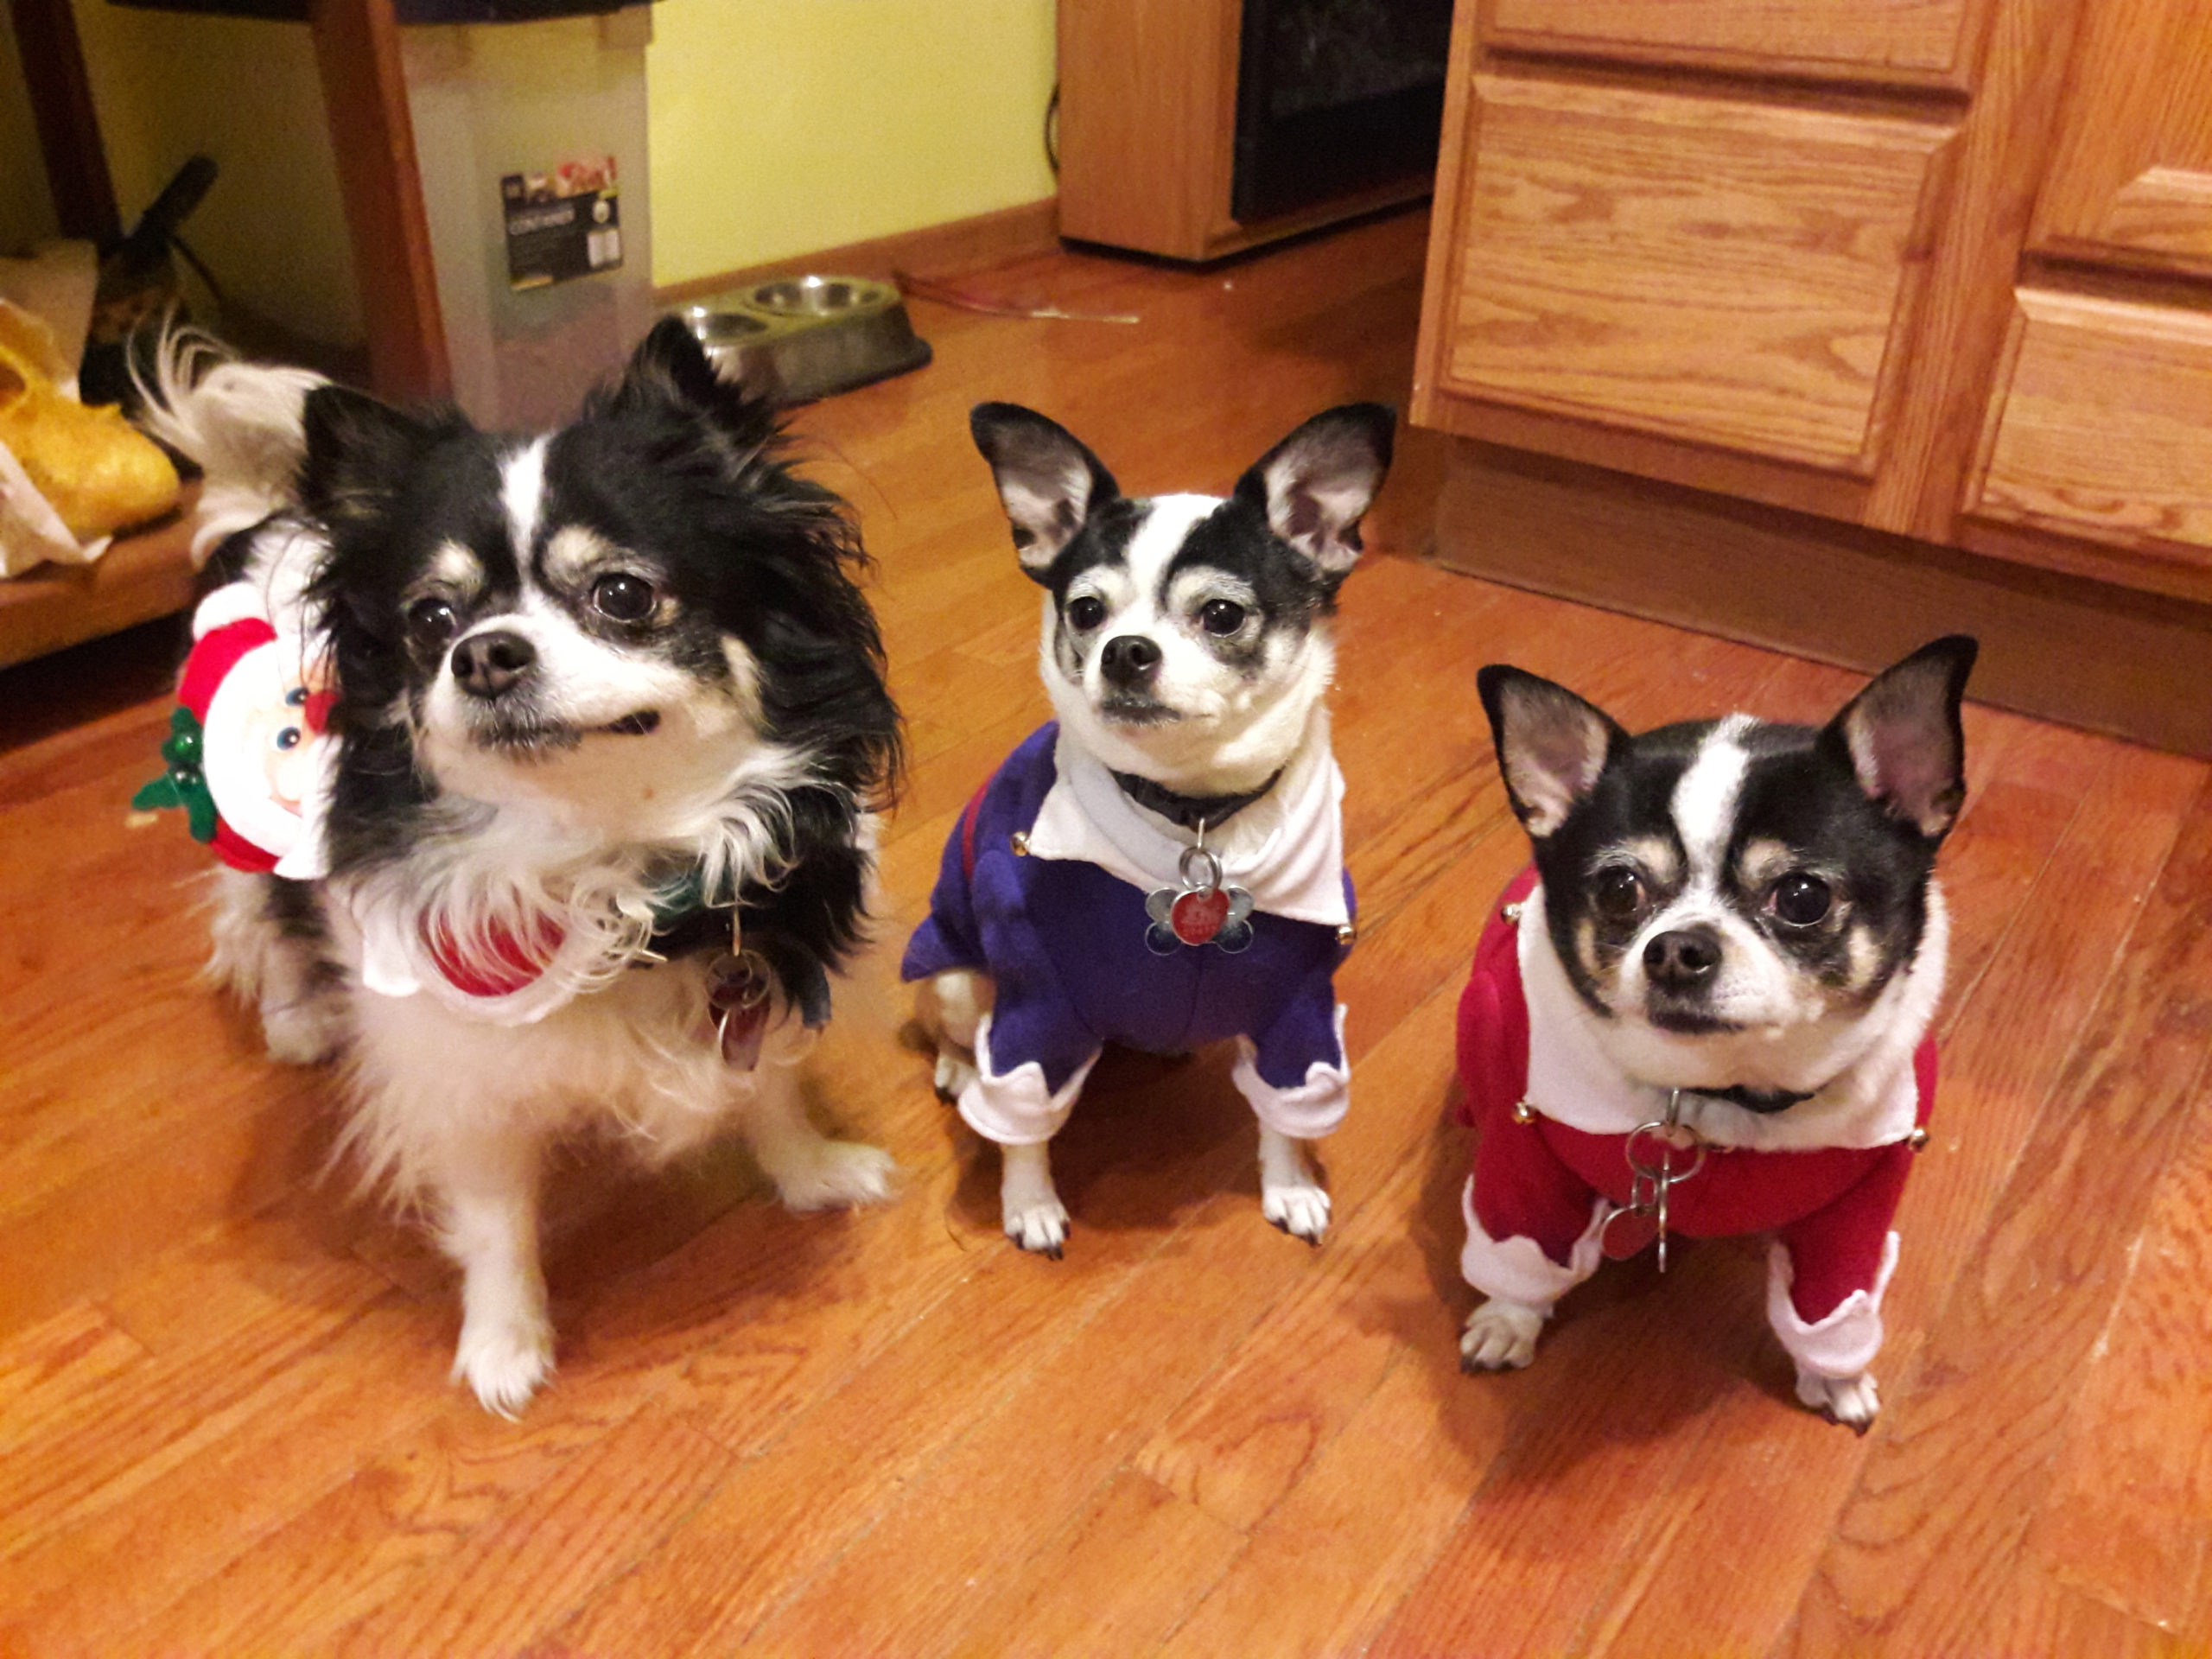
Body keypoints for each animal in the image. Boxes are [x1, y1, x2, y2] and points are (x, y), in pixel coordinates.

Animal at [141, 321, 902, 1414]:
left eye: (622, 594)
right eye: (430, 621)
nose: (485, 654)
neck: (612, 862)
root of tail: (264, 512)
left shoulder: (763, 960)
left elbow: (768, 1088)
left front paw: (811, 1173)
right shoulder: (461, 1076)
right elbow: (495, 1215)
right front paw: (504, 1346)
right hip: (231, 806)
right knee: (257, 911)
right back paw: (297, 1019)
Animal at [904, 401, 1393, 1254]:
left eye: (1222, 615)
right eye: (1085, 611)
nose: (1124, 650)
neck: (1193, 818)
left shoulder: (1298, 1007)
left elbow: (1288, 1110)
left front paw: (1290, 1184)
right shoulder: (1037, 1005)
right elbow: (1022, 1122)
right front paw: (1028, 1203)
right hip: (961, 978)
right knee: (957, 1033)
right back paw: (959, 1068)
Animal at [1454, 638, 1976, 1429]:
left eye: (1803, 897)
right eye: (1618, 890)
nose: (1676, 948)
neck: (1717, 1095)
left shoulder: (1861, 1203)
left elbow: (1832, 1304)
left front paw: (1833, 1375)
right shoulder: (1524, 1151)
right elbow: (1523, 1243)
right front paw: (1509, 1318)